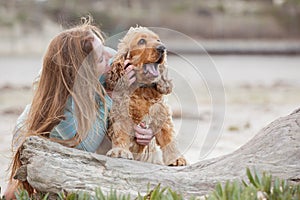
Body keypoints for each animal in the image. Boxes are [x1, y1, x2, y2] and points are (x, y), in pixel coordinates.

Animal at [105, 27, 185, 167]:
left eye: (158, 40)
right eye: (141, 41)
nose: (162, 48)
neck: (143, 89)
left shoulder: (162, 114)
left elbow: (169, 138)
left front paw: (176, 159)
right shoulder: (121, 112)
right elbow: (121, 132)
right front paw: (120, 150)